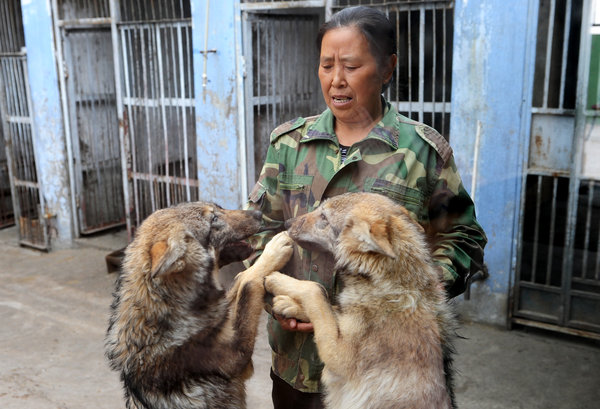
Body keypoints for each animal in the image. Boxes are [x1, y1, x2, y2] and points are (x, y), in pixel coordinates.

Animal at [106, 202, 294, 408]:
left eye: (218, 208)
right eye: (213, 219)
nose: (259, 213)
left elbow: (241, 279)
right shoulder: (239, 358)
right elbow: (249, 282)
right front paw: (275, 249)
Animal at [264, 192, 458, 408]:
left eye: (324, 217)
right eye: (320, 210)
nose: (287, 223)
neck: (393, 287)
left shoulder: (338, 358)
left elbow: (315, 290)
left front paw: (276, 279)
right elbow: (328, 304)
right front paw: (289, 304)